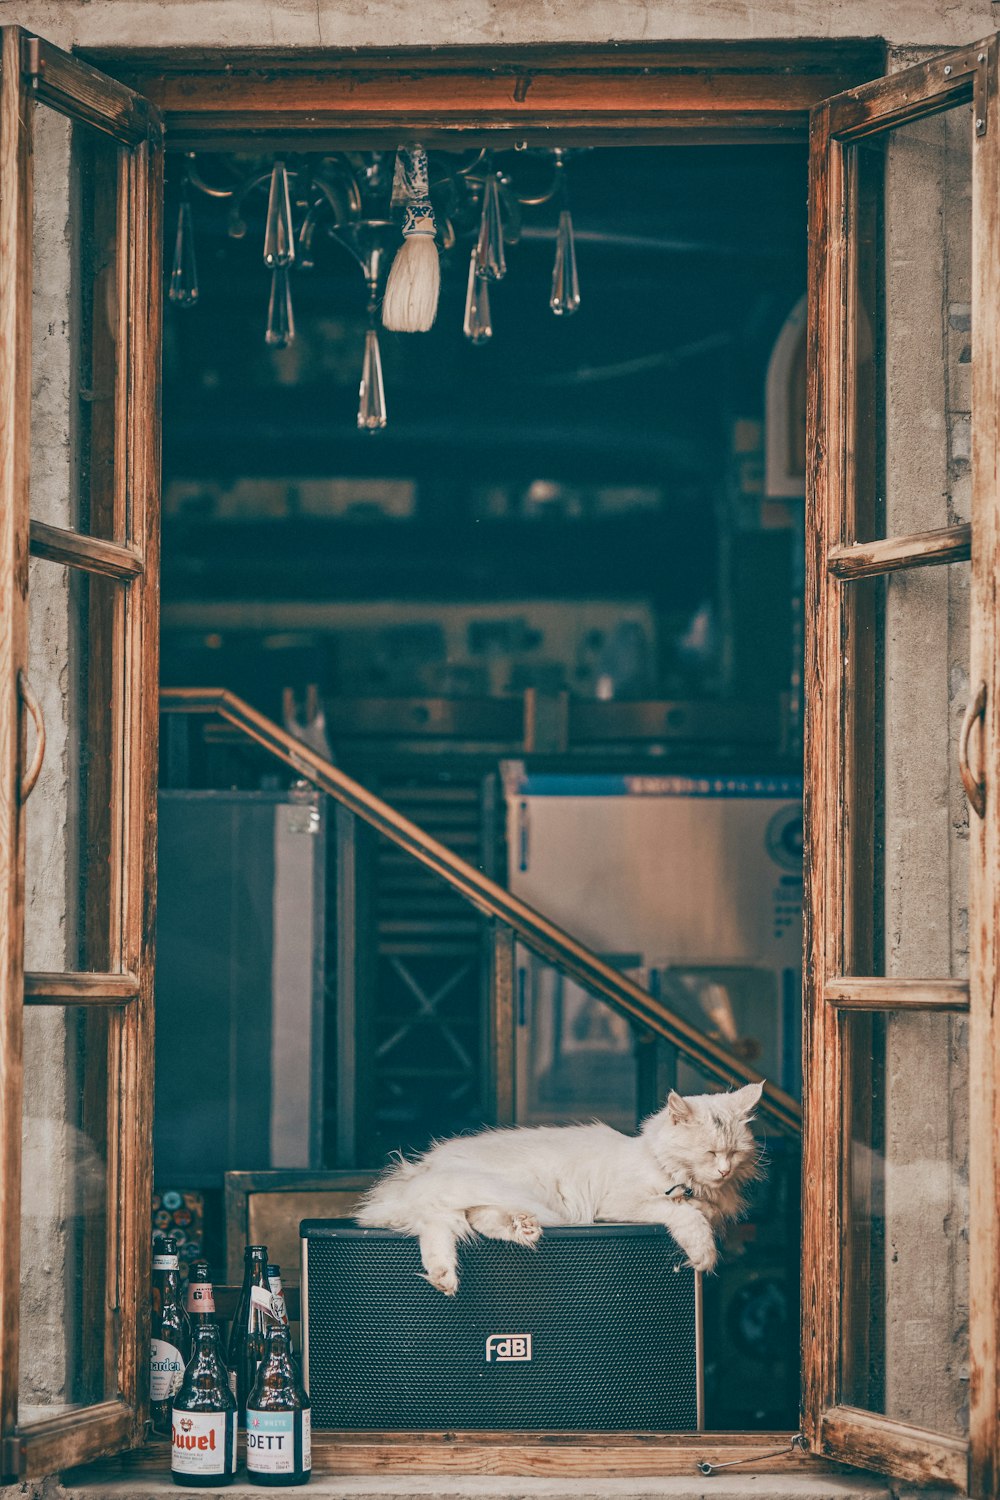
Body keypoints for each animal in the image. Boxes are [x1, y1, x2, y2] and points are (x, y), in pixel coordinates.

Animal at [359, 1086, 767, 1296]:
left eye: (733, 1152)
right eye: (710, 1153)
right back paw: (450, 1272)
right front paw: (703, 1254)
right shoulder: (619, 1203)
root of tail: (424, 1166)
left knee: (461, 1221)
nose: (723, 1170)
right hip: (488, 1185)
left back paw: (508, 1237)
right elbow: (683, 1215)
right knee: (445, 1221)